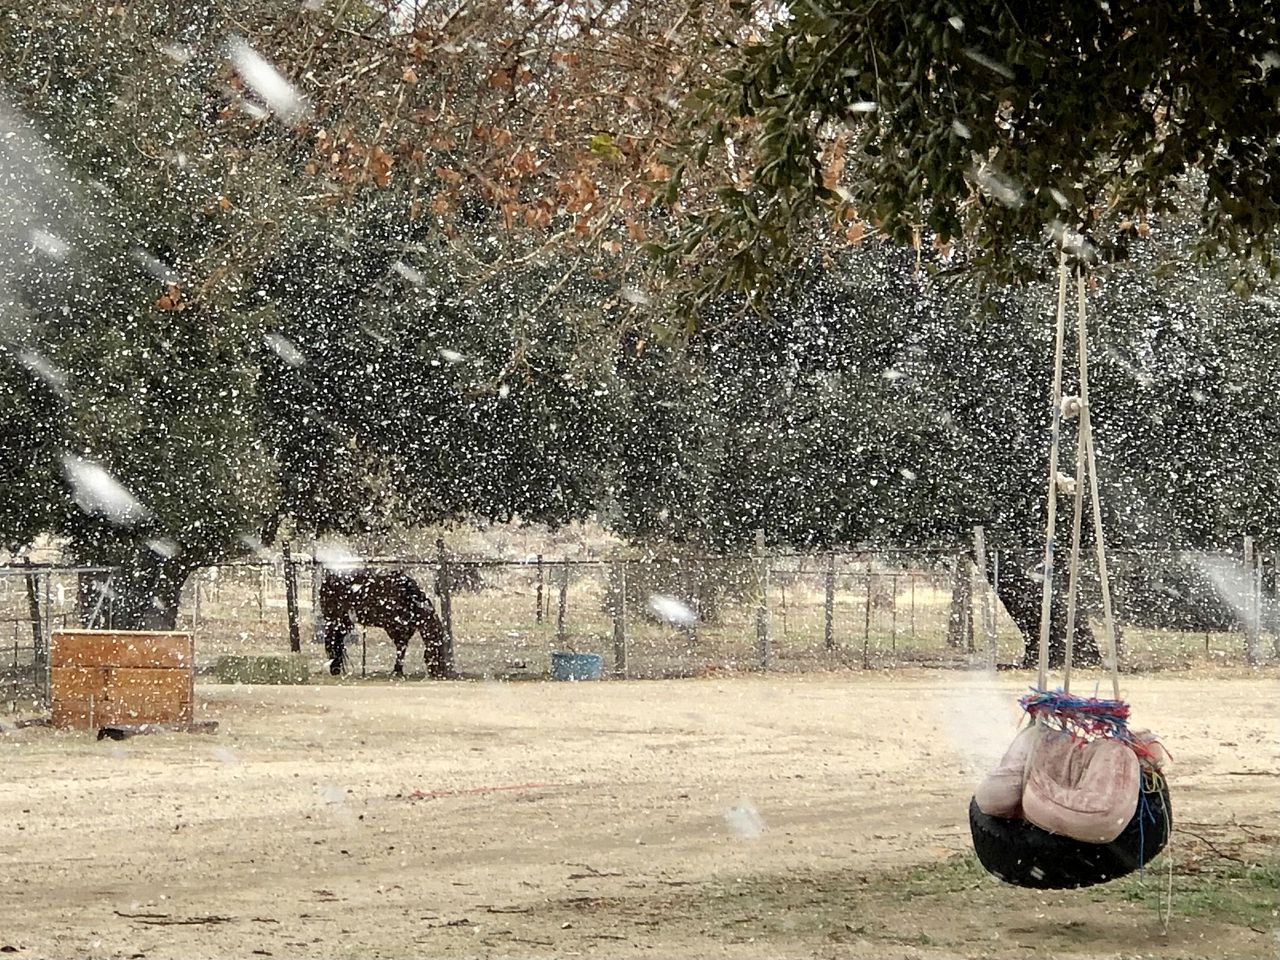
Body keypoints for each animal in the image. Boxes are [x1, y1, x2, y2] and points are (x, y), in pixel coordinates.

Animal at [318, 568, 450, 680]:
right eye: (437, 649)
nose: (440, 673)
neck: (408, 598)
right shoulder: (393, 627)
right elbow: (400, 646)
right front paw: (397, 672)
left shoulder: (407, 628)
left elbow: (402, 648)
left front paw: (398, 670)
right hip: (334, 619)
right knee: (331, 640)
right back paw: (334, 669)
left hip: (345, 622)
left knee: (337, 640)